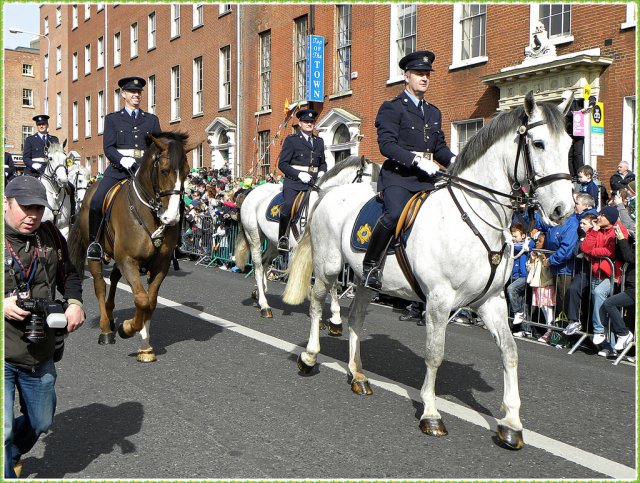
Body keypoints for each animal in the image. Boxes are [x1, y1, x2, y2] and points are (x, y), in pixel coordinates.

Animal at [69, 132, 194, 364]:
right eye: (164, 171)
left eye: (187, 173)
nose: (171, 218)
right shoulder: (128, 260)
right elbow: (141, 299)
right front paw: (127, 328)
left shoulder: (160, 265)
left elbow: (150, 301)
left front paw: (145, 347)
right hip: (95, 255)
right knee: (100, 285)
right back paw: (106, 330)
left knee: (114, 279)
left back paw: (111, 316)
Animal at [235, 155, 380, 322]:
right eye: (367, 185)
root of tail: (252, 192)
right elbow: (330, 282)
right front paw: (335, 316)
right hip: (254, 236)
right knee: (258, 266)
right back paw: (264, 305)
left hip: (274, 243)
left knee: (265, 262)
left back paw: (260, 291)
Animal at [284, 91, 576, 450]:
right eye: (538, 143)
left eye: (569, 145)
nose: (563, 210)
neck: (474, 217)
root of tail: (327, 194)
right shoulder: (439, 299)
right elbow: (435, 354)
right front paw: (431, 414)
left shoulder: (492, 300)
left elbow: (510, 352)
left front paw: (510, 423)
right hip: (328, 266)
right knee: (315, 303)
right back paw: (310, 357)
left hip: (366, 280)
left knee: (356, 319)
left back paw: (358, 375)